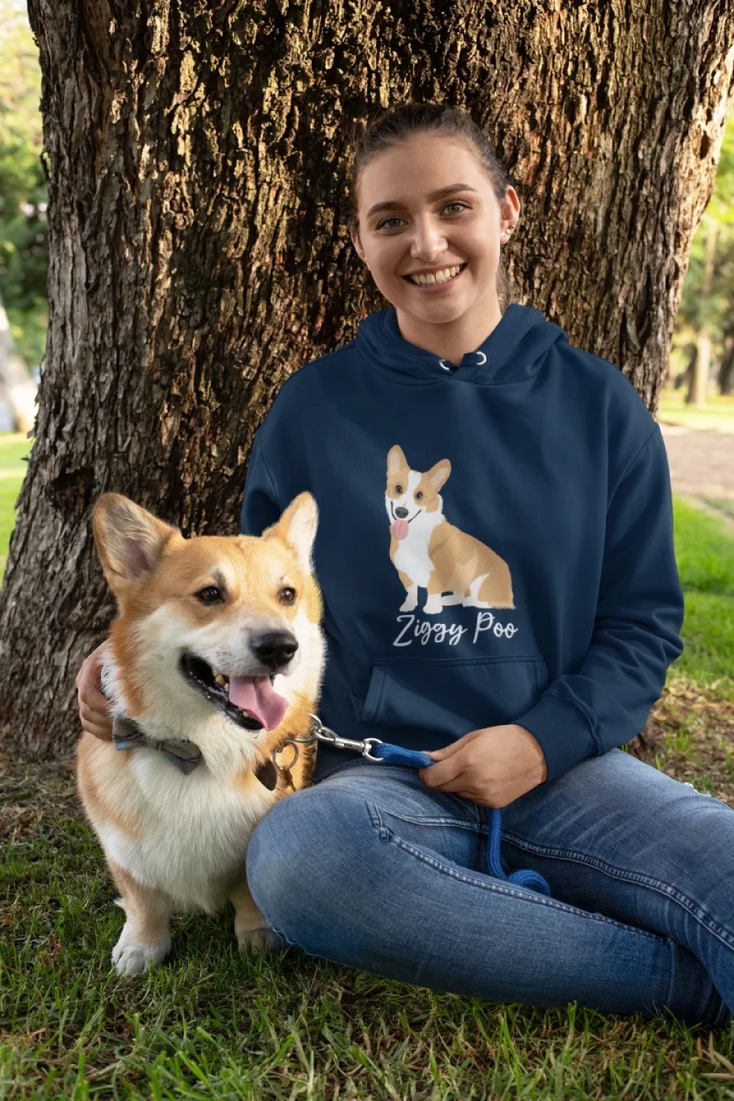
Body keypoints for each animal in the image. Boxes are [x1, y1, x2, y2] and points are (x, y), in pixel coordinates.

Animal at [76, 491, 325, 976]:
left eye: (287, 595)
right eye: (210, 594)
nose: (281, 647)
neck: (197, 751)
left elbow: (248, 893)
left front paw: (257, 935)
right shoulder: (122, 848)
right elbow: (142, 899)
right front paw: (141, 948)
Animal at [385, 445, 514, 614]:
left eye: (419, 495)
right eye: (398, 489)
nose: (401, 512)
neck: (415, 534)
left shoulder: (439, 573)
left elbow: (433, 589)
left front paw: (432, 608)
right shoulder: (405, 573)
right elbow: (411, 592)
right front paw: (408, 606)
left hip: (480, 582)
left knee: (484, 601)